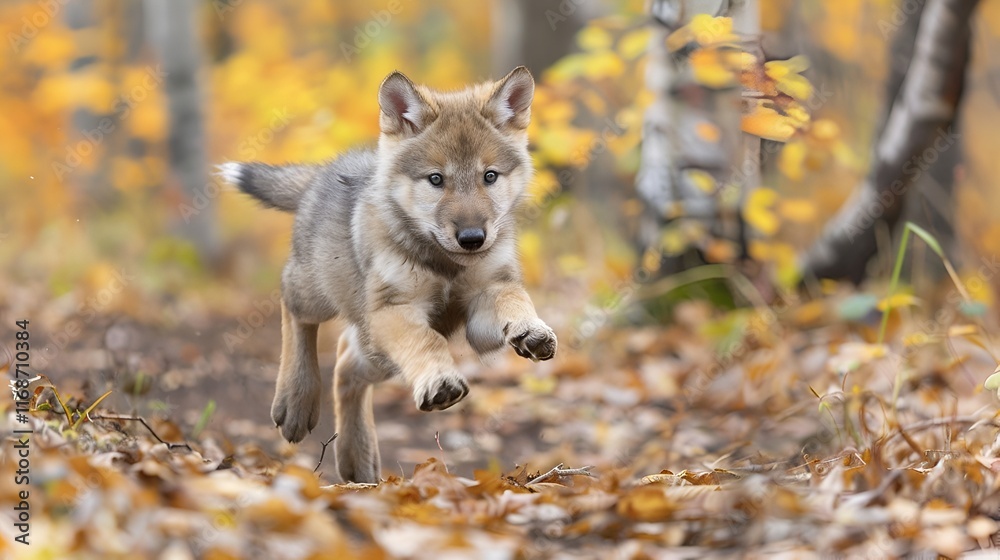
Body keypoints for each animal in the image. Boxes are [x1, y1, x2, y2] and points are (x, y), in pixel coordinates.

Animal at [219, 67, 557, 484]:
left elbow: (514, 298)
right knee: (293, 309)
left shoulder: (483, 303)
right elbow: (427, 343)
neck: (445, 263)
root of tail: (321, 174)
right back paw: (295, 403)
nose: (472, 238)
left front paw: (531, 330)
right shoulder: (394, 310)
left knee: (346, 365)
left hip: (376, 352)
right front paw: (440, 381)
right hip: (324, 300)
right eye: (436, 179)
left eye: (489, 176)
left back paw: (357, 461)